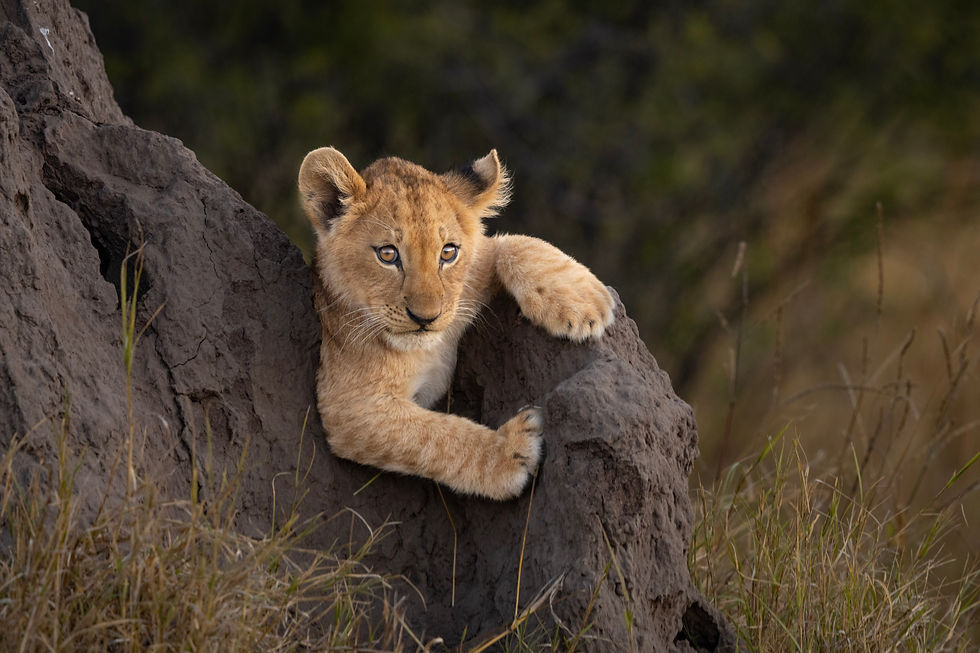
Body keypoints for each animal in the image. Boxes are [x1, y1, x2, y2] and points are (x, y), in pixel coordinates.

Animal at [298, 147, 614, 500]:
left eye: (448, 253)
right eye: (388, 254)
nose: (426, 317)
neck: (423, 350)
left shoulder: (470, 279)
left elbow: (511, 243)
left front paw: (583, 302)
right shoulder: (349, 404)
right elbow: (436, 436)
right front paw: (511, 451)